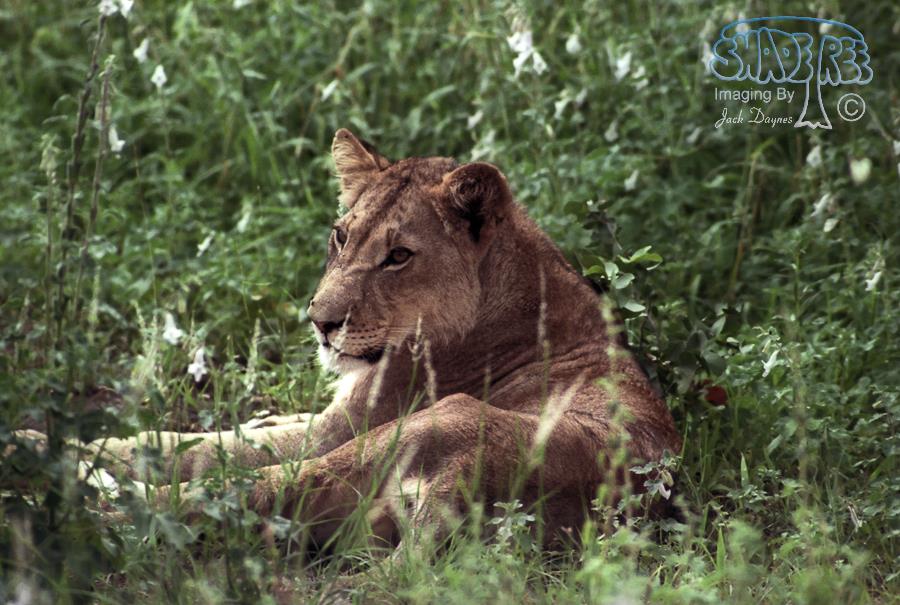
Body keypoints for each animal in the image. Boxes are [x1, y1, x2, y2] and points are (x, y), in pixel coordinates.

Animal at [22, 129, 682, 546]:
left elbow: (196, 446)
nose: (319, 320)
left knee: (232, 491)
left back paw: (66, 498)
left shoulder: (344, 426)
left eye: (398, 256)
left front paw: (45, 443)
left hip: (422, 428)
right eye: (341, 236)